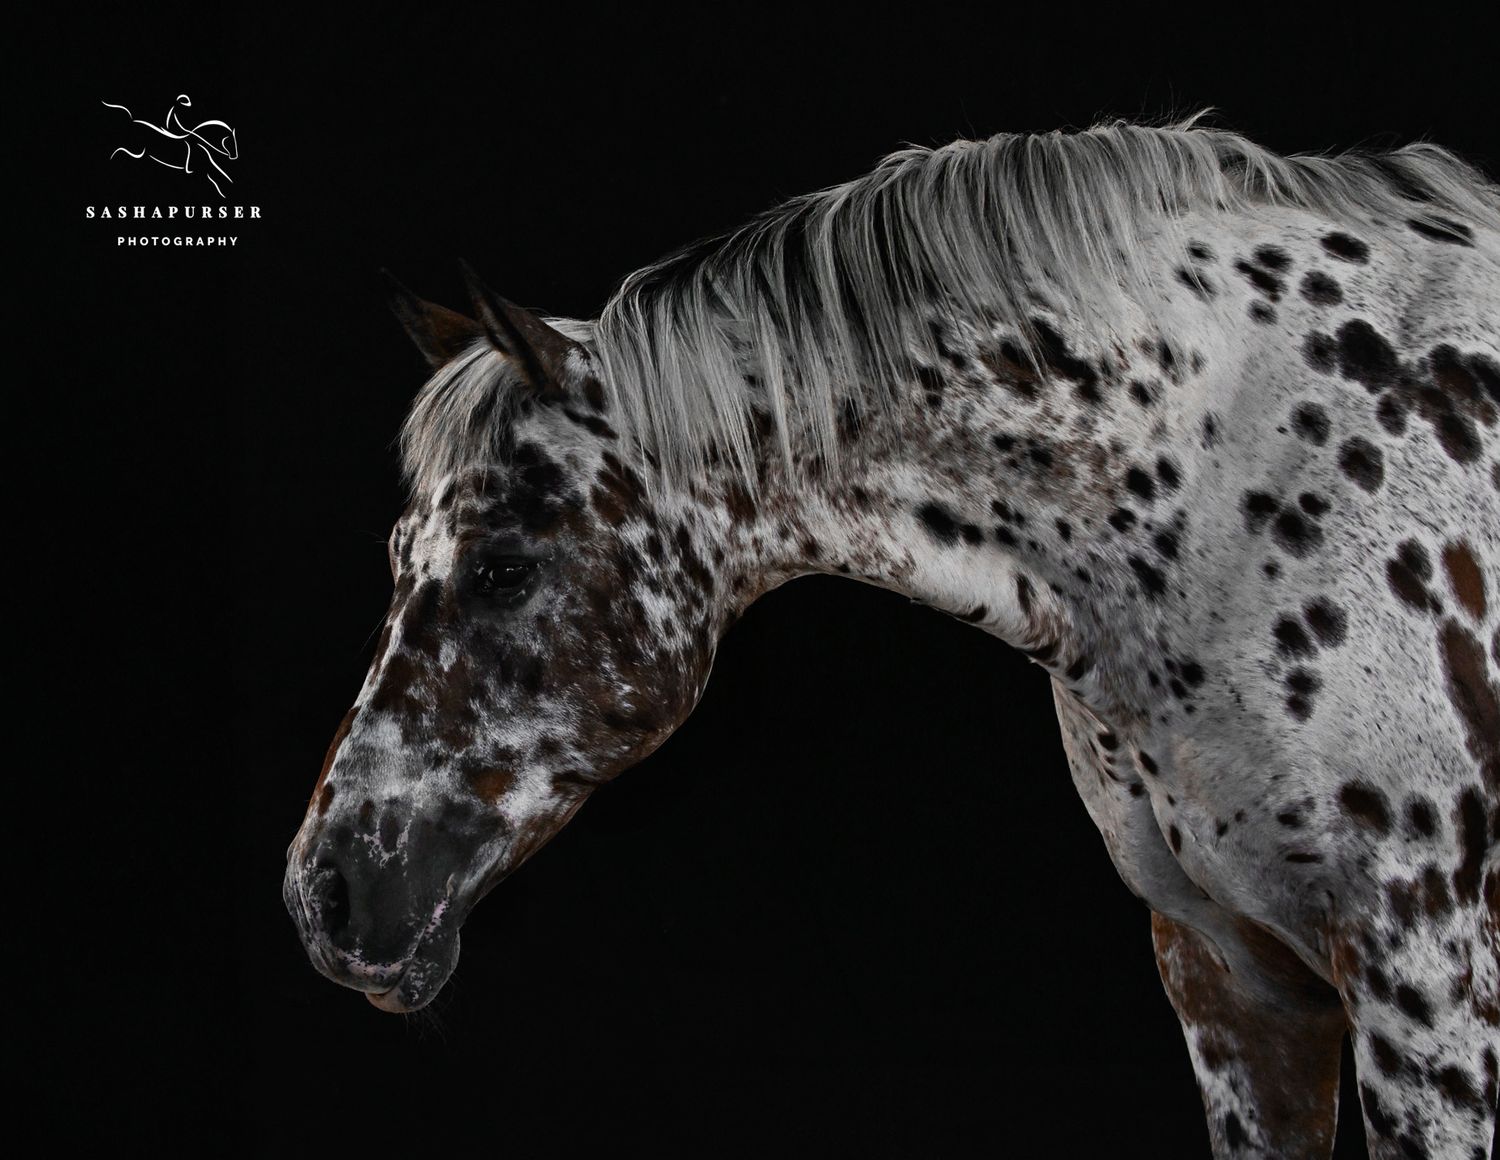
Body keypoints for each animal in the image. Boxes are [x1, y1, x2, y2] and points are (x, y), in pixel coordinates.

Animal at [283, 115, 1499, 1158]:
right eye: (398, 552)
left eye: (502, 566)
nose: (324, 893)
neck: (1231, 479)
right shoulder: (1230, 981)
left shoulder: (1427, 989)